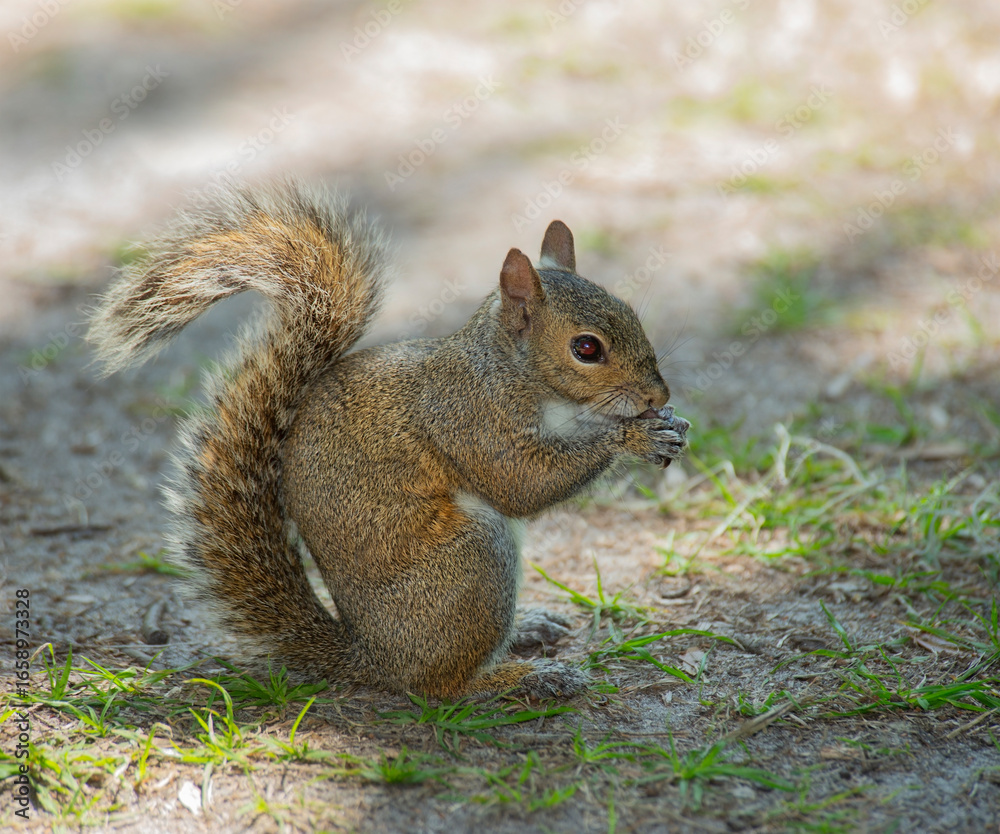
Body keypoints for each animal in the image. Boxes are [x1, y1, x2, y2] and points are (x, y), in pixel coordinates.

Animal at [87, 180, 689, 700]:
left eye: (631, 314)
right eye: (586, 348)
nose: (658, 394)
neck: (513, 373)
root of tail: (370, 656)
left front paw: (667, 424)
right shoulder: (468, 420)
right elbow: (520, 484)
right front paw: (634, 436)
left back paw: (528, 628)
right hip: (473, 559)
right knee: (440, 685)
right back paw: (521, 678)